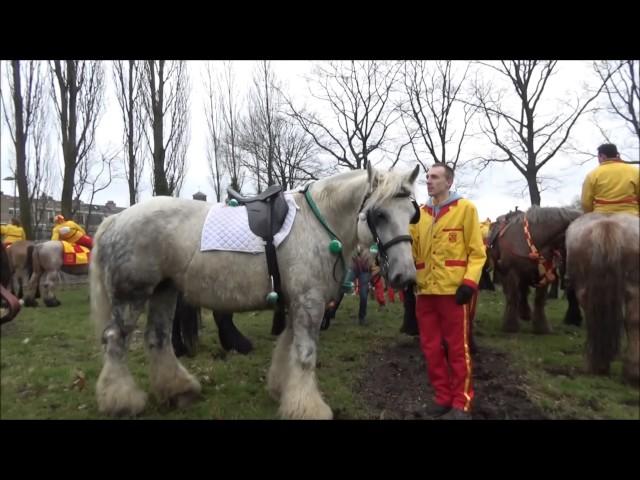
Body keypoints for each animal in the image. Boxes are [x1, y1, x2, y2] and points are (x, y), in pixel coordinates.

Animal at [488, 206, 584, 334]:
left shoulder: (546, 273)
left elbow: (539, 299)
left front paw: (541, 327)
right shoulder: (511, 272)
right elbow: (513, 297)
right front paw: (510, 326)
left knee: (523, 292)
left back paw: (525, 313)